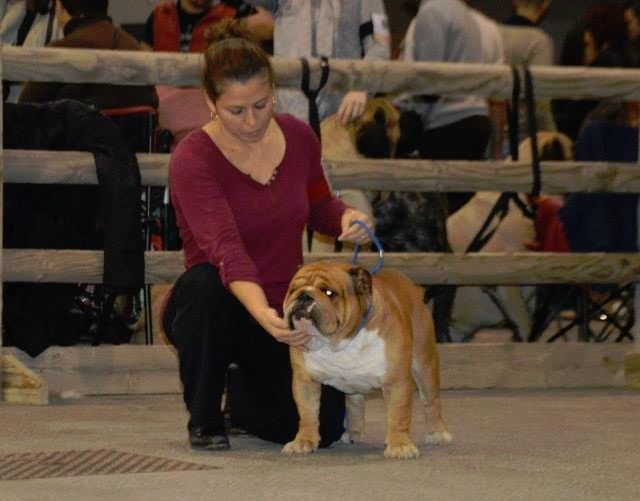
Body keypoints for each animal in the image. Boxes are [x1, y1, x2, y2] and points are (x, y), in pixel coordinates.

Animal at [280, 260, 450, 458]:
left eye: (329, 292)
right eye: (292, 290)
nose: (303, 295)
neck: (338, 342)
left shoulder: (396, 381)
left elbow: (398, 414)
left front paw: (400, 445)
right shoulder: (305, 381)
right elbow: (308, 414)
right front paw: (303, 441)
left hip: (424, 364)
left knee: (431, 400)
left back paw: (438, 433)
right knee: (355, 403)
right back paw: (354, 432)